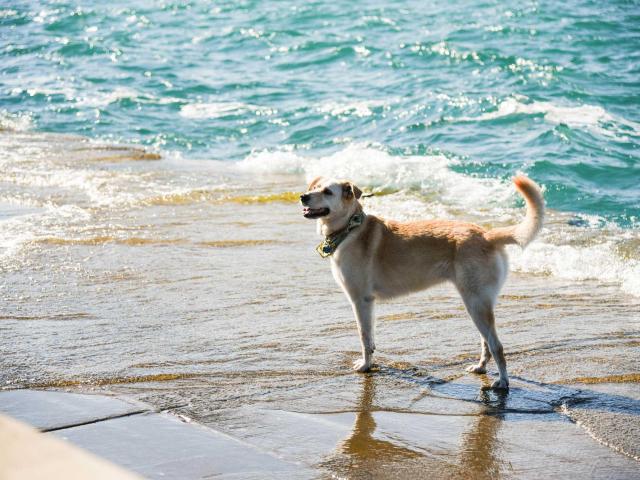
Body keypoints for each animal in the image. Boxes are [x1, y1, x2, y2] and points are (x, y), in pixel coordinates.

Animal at [302, 174, 544, 388]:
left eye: (327, 191)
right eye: (314, 187)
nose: (303, 196)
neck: (350, 228)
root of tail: (487, 235)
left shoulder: (361, 300)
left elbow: (364, 337)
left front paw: (365, 366)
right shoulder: (368, 304)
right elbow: (370, 339)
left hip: (475, 303)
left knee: (497, 346)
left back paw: (503, 381)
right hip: (479, 304)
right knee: (486, 343)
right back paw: (480, 367)